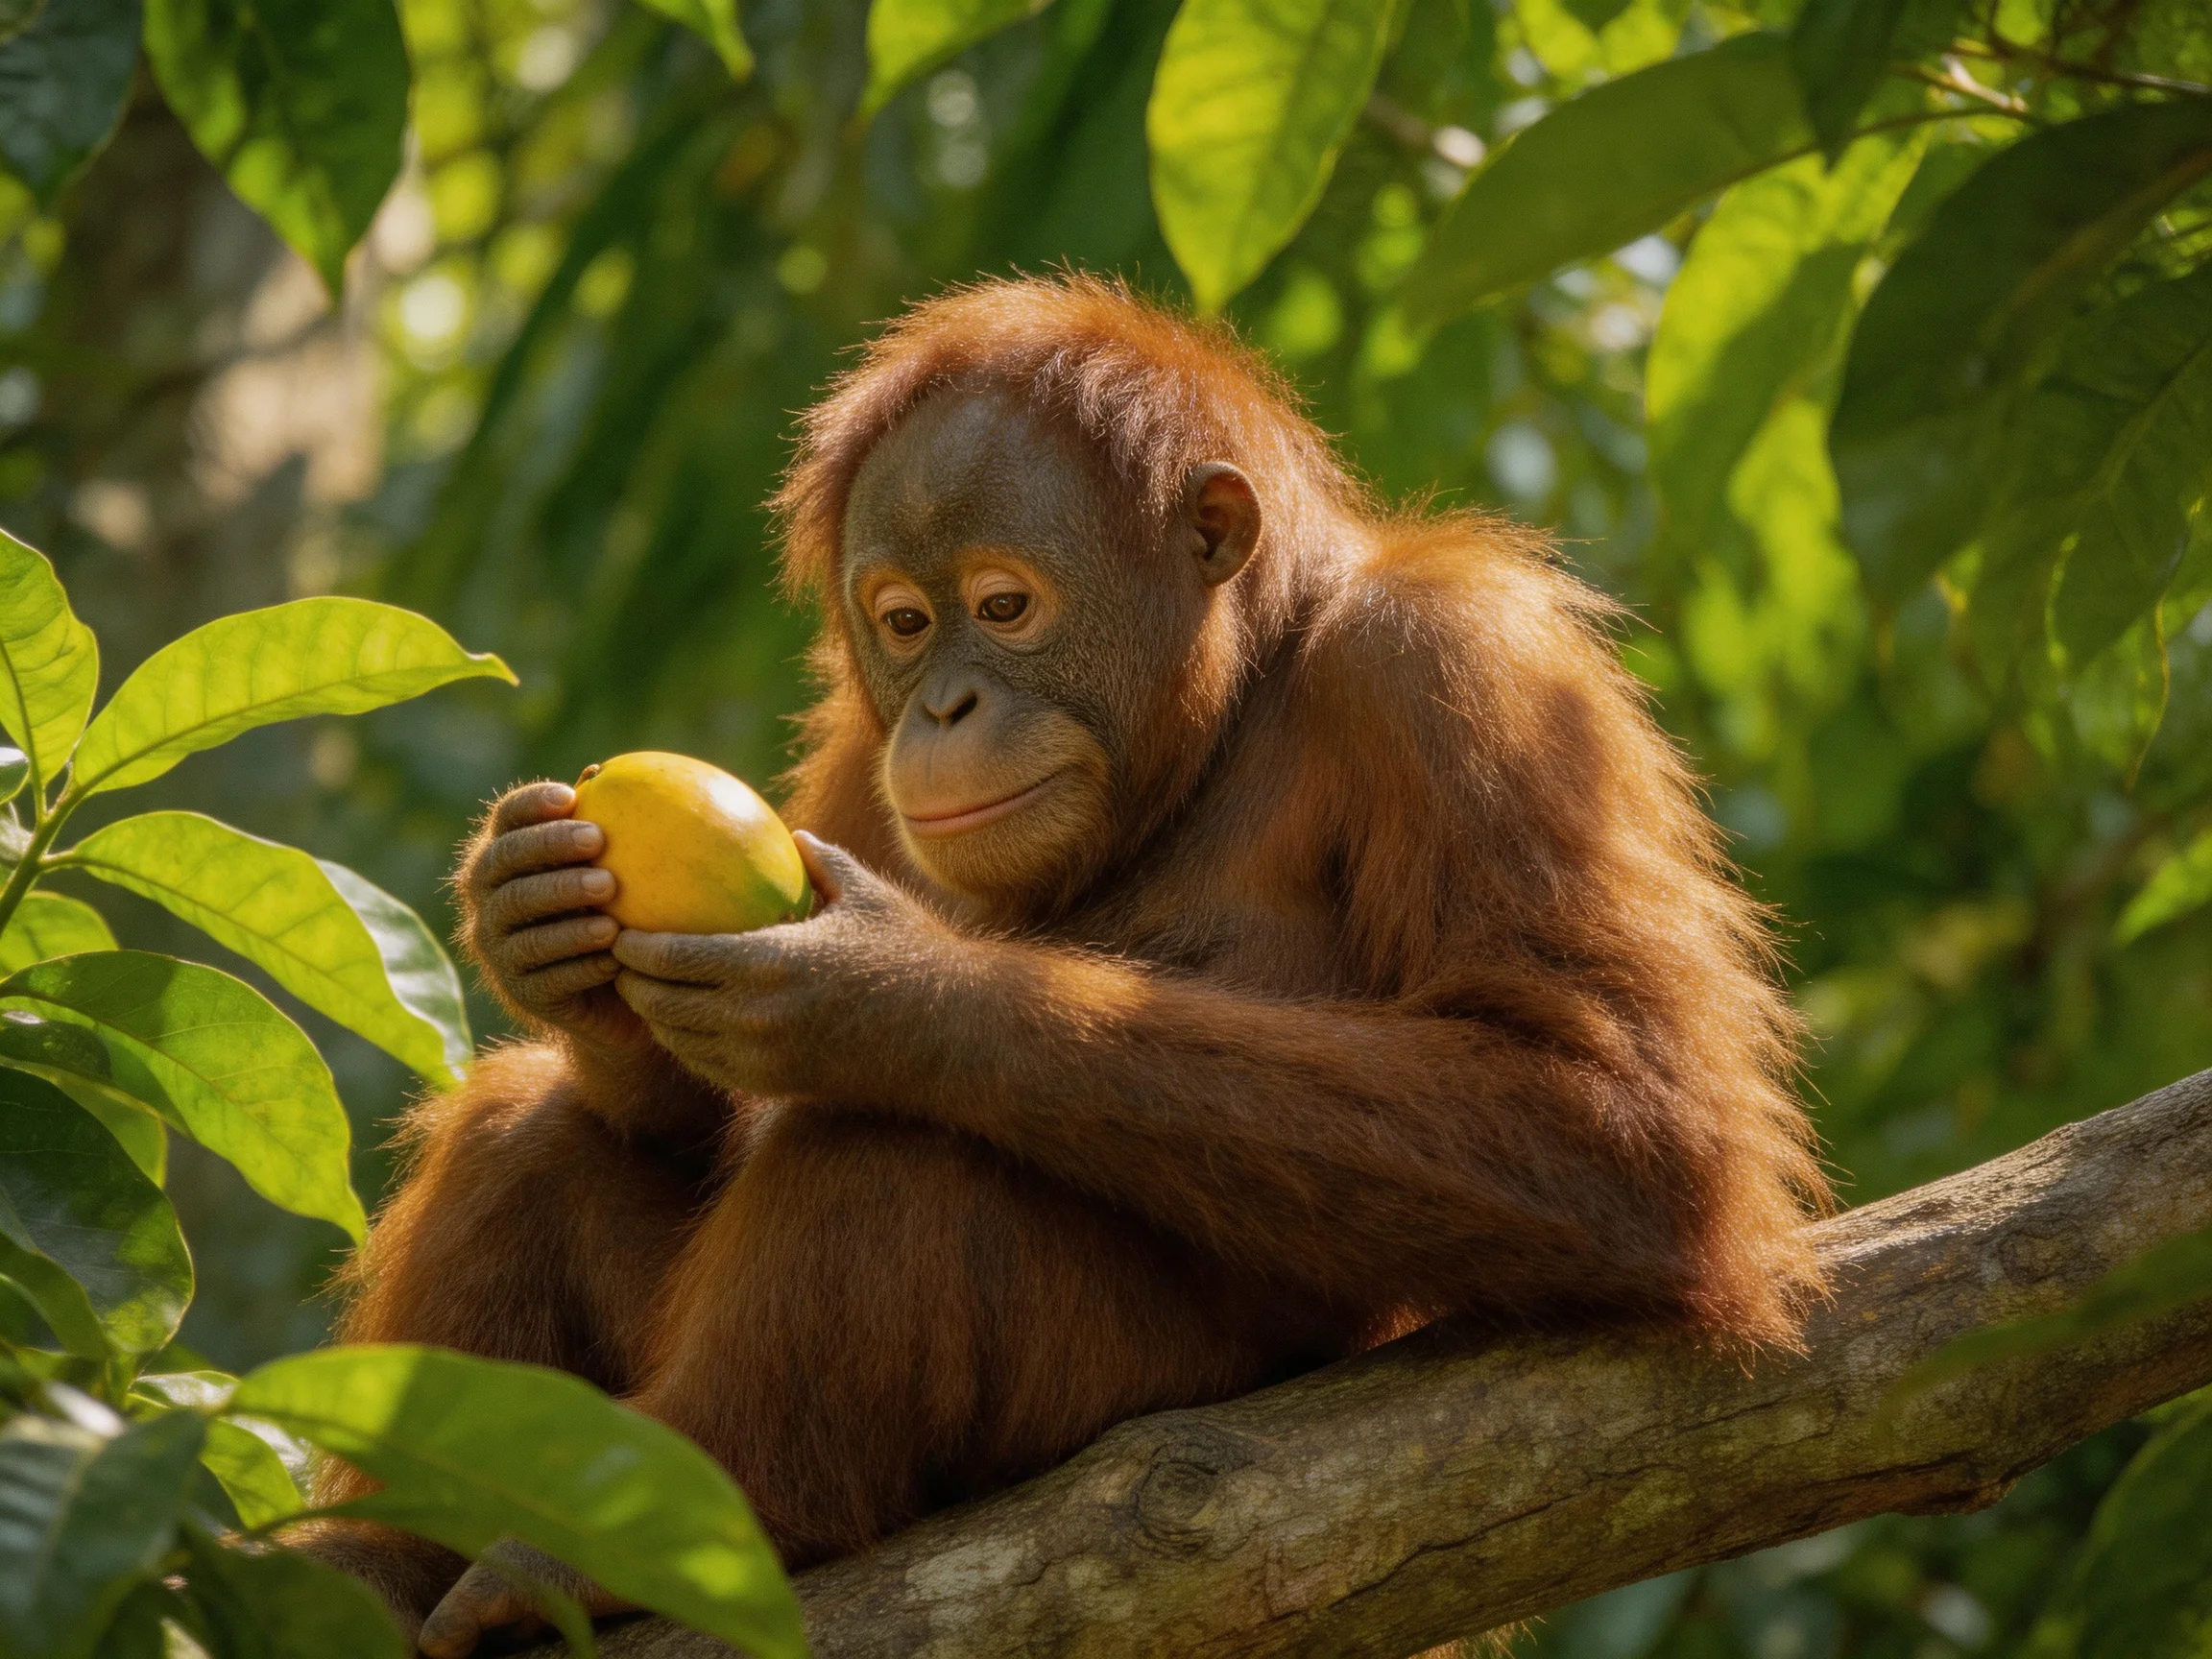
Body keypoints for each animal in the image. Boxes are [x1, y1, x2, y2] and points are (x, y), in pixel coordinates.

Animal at [312, 275, 1827, 1655]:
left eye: (1004, 604)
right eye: (904, 622)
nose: (944, 707)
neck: (1233, 707)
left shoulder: (1463, 668)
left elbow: (1615, 1114)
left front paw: (891, 991)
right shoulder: (864, 758)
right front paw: (534, 920)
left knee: (883, 1152)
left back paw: (674, 1526)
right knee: (530, 1129)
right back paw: (375, 1568)